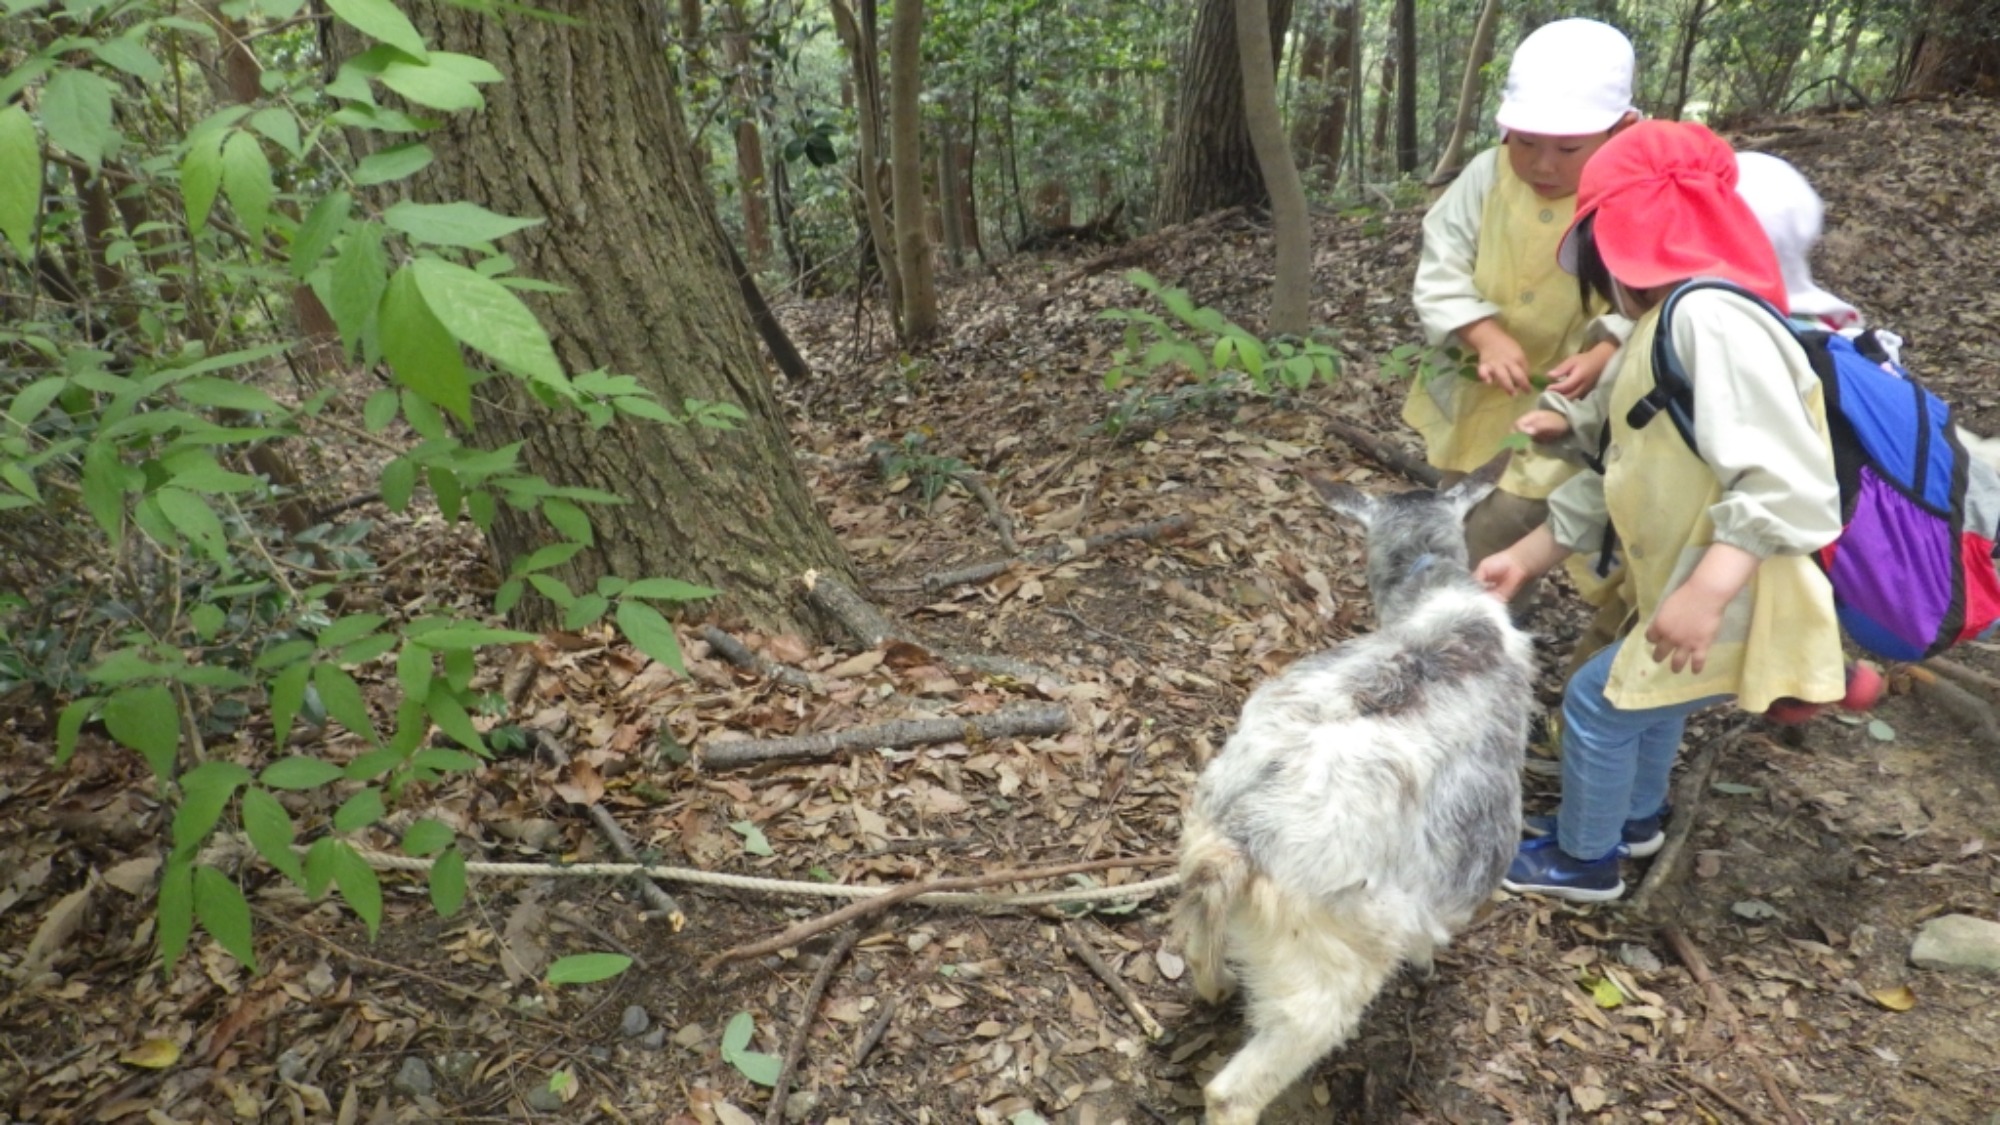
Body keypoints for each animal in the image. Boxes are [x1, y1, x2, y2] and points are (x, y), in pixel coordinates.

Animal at [1168, 466, 1528, 1120]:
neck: (1440, 606)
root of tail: (1238, 839)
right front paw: (1426, 961)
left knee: (1202, 961)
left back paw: (1221, 988)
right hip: (1328, 963)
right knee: (1236, 1089)